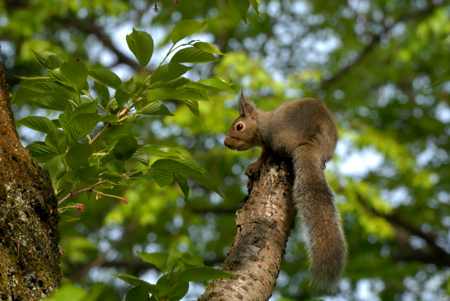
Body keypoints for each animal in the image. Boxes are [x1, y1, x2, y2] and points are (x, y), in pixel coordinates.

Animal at [225, 92, 348, 292]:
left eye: (239, 126)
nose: (226, 143)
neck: (262, 120)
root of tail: (308, 142)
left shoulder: (266, 141)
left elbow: (264, 155)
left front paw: (254, 166)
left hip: (278, 139)